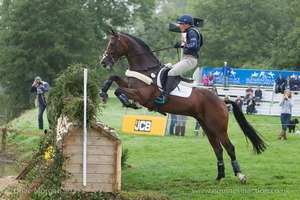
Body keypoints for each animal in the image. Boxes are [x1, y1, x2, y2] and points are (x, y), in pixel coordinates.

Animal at [99, 28, 266, 184]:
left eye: (112, 44)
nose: (104, 62)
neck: (146, 70)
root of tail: (221, 101)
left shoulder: (141, 95)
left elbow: (119, 90)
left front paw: (127, 102)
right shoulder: (130, 86)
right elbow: (114, 78)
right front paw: (104, 92)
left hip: (218, 128)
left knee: (229, 147)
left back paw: (240, 175)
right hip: (207, 127)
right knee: (217, 149)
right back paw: (219, 176)